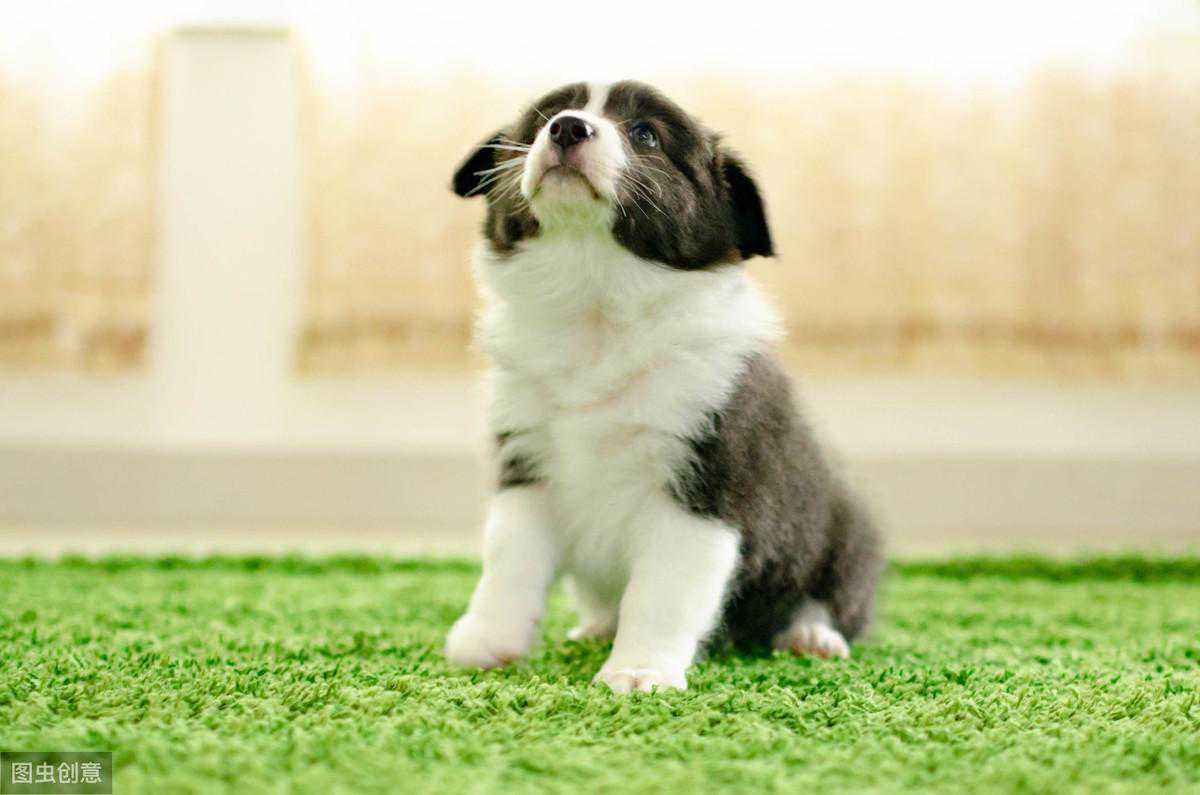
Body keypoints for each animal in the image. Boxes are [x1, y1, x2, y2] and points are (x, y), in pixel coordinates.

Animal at [444, 81, 882, 693]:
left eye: (646, 134)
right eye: (542, 119)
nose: (567, 127)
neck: (597, 306)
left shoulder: (705, 486)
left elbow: (661, 593)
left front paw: (638, 671)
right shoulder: (527, 467)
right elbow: (509, 564)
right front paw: (486, 645)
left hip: (845, 534)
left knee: (825, 601)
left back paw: (810, 635)